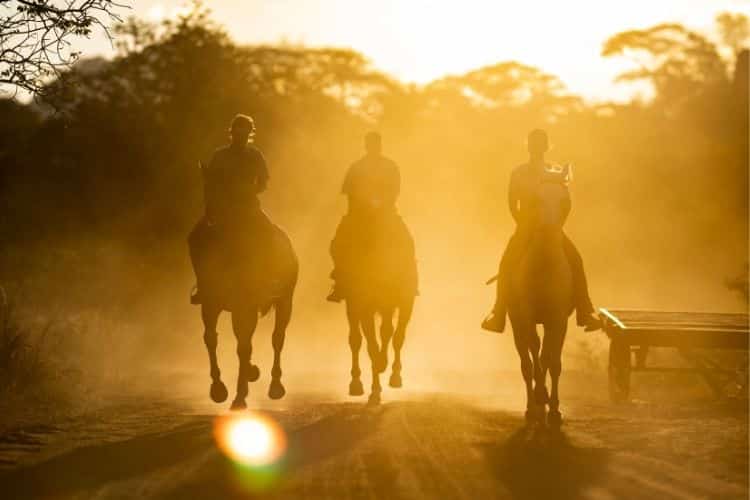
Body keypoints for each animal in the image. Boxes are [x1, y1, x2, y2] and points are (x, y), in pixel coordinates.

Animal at [199, 220, 298, 410]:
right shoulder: (210, 303)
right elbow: (211, 338)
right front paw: (218, 390)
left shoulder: (244, 305)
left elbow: (243, 346)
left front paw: (240, 396)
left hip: (285, 302)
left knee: (277, 338)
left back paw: (275, 386)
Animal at [507, 165, 574, 426]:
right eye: (537, 199)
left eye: (565, 201)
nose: (548, 231)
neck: (544, 266)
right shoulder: (526, 317)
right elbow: (536, 352)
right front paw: (540, 396)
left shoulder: (558, 319)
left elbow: (552, 361)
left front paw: (554, 408)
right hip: (516, 323)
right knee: (526, 363)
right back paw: (531, 407)